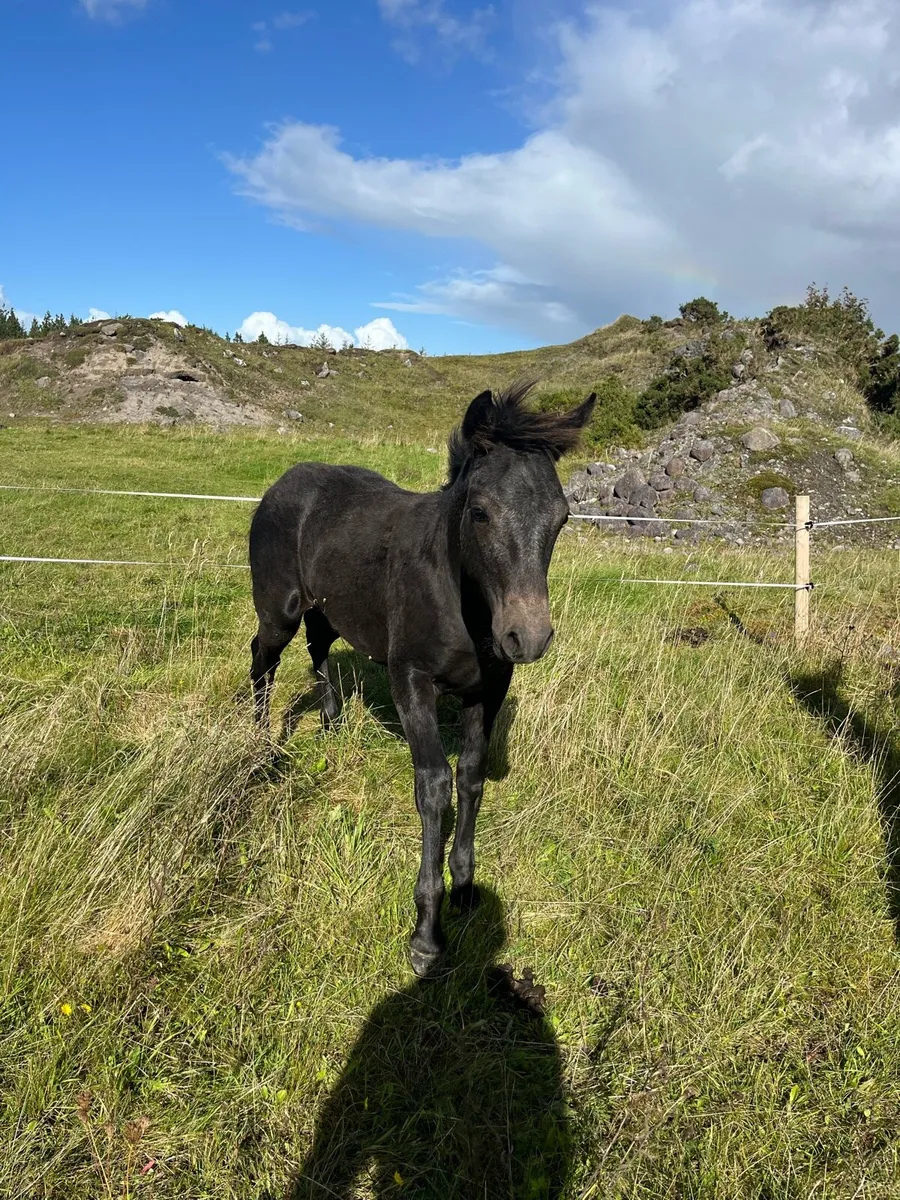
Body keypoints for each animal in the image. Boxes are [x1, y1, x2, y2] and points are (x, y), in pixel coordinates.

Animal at [248, 381, 596, 975]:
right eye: (479, 511)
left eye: (562, 517)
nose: (527, 637)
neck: (460, 598)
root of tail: (283, 482)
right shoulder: (411, 681)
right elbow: (433, 787)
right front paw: (427, 935)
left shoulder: (488, 689)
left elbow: (471, 776)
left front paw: (466, 889)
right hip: (280, 611)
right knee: (262, 660)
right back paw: (259, 747)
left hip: (327, 606)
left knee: (319, 646)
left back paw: (331, 721)